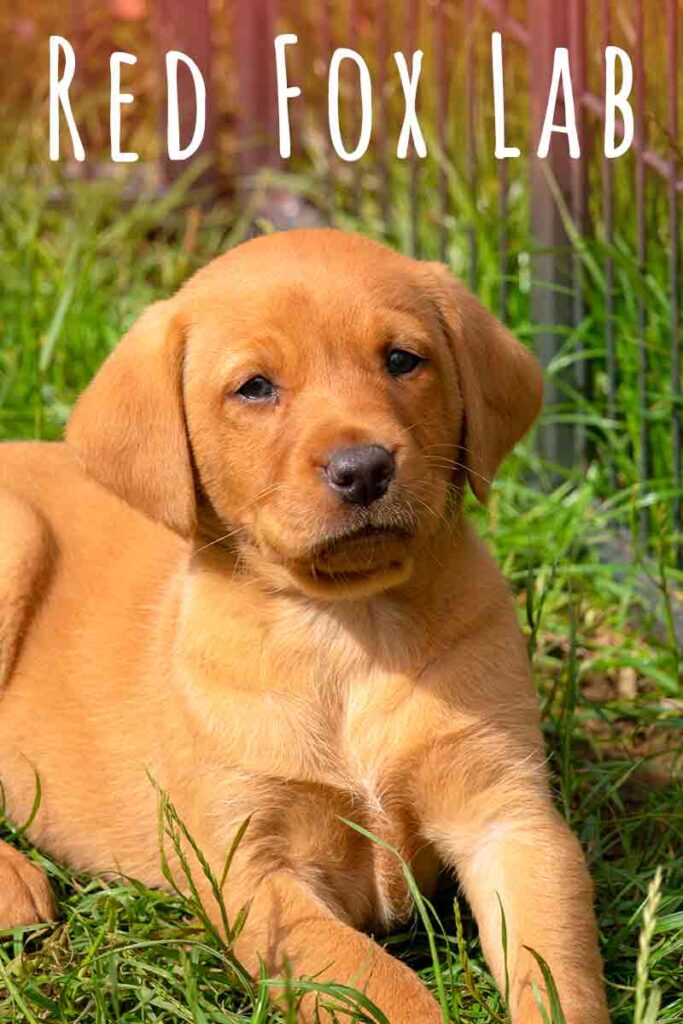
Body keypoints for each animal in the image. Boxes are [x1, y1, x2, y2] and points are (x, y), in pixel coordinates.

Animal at [0, 232, 610, 1024]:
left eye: (401, 360)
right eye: (255, 387)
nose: (363, 468)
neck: (348, 626)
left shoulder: (510, 816)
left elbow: (557, 969)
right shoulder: (251, 871)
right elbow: (376, 980)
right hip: (16, 538)